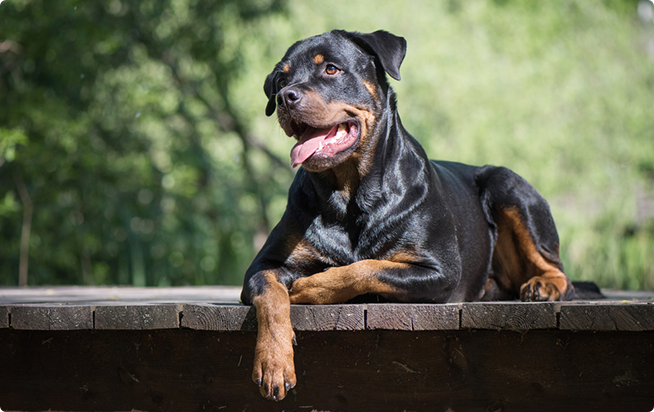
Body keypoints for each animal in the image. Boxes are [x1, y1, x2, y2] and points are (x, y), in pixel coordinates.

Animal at [241, 29, 576, 402]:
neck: (349, 195)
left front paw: (309, 286)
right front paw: (274, 363)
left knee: (559, 270)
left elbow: (366, 268)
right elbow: (271, 298)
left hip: (507, 185)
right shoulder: (263, 265)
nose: (286, 97)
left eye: (331, 69)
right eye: (282, 79)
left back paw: (544, 285)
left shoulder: (439, 270)